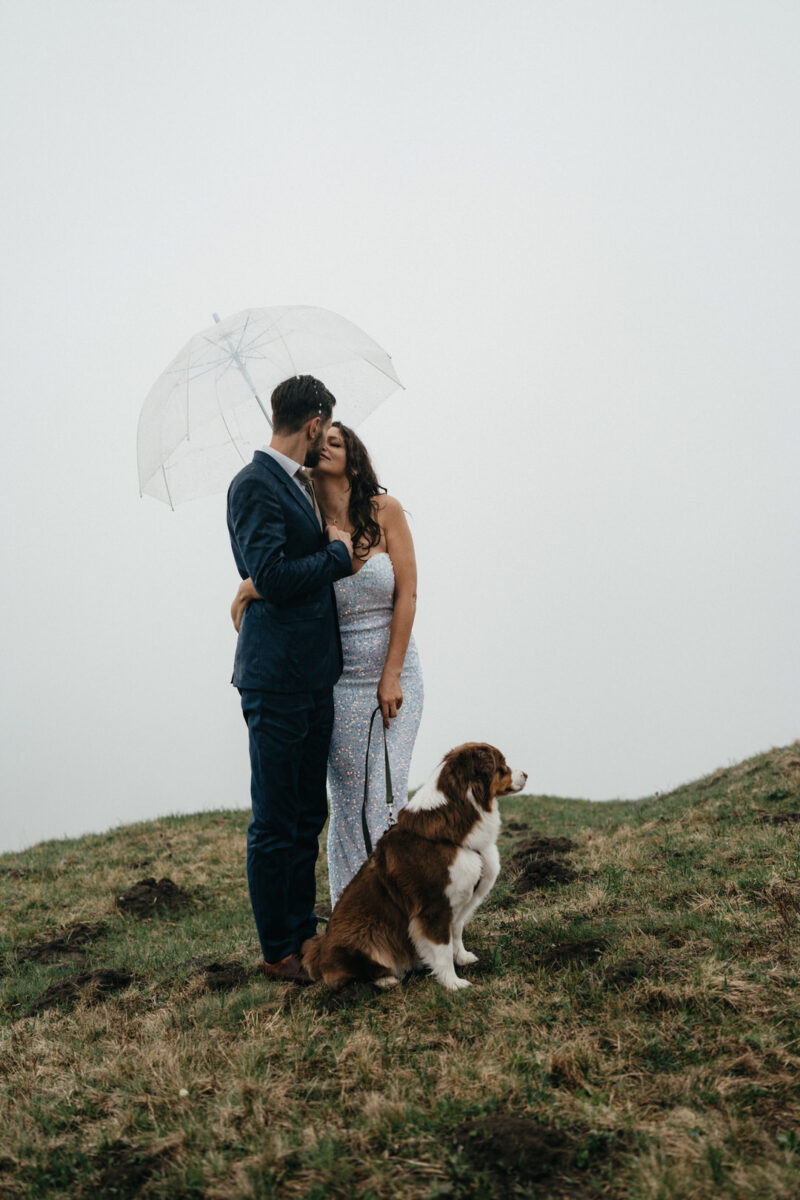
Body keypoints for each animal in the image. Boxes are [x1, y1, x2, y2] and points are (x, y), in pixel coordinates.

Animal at [299, 739, 525, 993]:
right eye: (502, 765)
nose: (526, 774)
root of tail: (320, 950)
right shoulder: (434, 907)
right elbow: (443, 949)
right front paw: (452, 982)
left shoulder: (457, 901)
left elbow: (456, 933)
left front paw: (463, 958)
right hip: (365, 933)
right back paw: (386, 979)